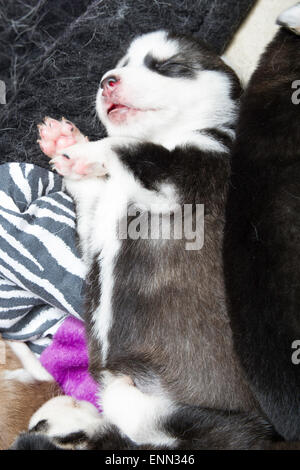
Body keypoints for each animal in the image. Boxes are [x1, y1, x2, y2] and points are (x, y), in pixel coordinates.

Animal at [15, 29, 280, 448]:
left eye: (169, 67)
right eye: (122, 65)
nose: (108, 81)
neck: (172, 135)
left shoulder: (182, 175)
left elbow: (128, 147)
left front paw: (84, 149)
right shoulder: (96, 223)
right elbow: (94, 183)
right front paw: (66, 143)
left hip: (207, 423)